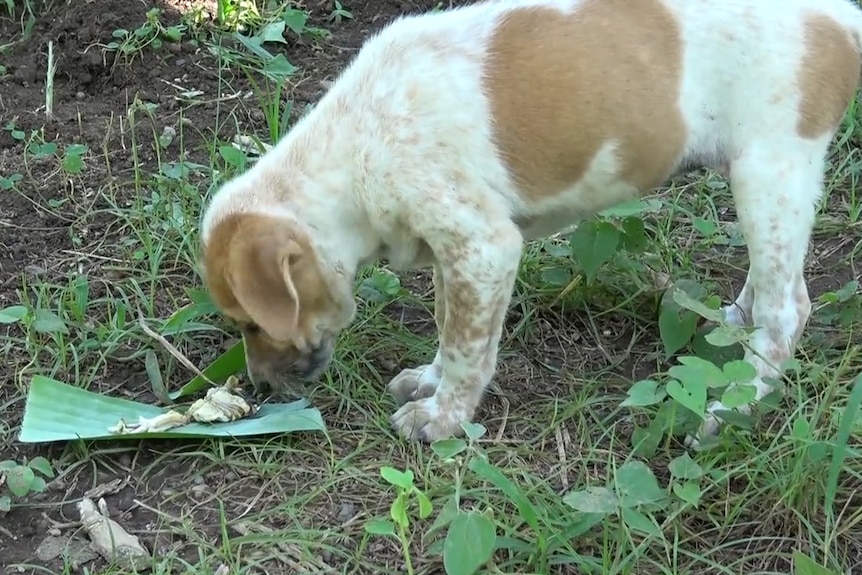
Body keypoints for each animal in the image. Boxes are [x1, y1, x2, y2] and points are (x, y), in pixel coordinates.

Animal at [199, 0, 862, 448]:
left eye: (251, 324)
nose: (258, 387)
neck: (355, 147)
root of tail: (840, 18)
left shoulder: (483, 248)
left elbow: (466, 348)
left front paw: (442, 419)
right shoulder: (456, 255)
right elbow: (449, 326)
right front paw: (430, 382)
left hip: (770, 172)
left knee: (788, 309)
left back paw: (732, 410)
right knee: (768, 285)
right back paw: (734, 324)